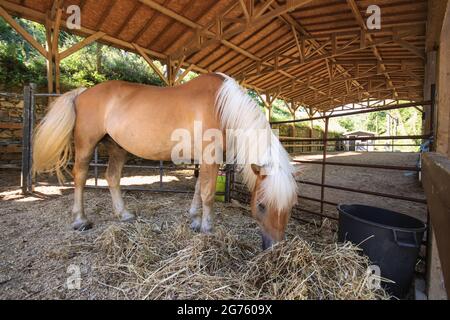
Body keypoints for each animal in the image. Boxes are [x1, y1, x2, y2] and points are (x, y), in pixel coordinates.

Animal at [32, 73, 298, 250]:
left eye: (290, 207)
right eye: (261, 205)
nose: (274, 248)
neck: (223, 106)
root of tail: (82, 93)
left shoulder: (204, 159)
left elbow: (198, 187)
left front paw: (194, 219)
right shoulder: (209, 156)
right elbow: (208, 192)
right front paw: (207, 229)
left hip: (117, 148)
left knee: (112, 177)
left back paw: (124, 214)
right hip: (87, 146)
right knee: (79, 177)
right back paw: (80, 220)